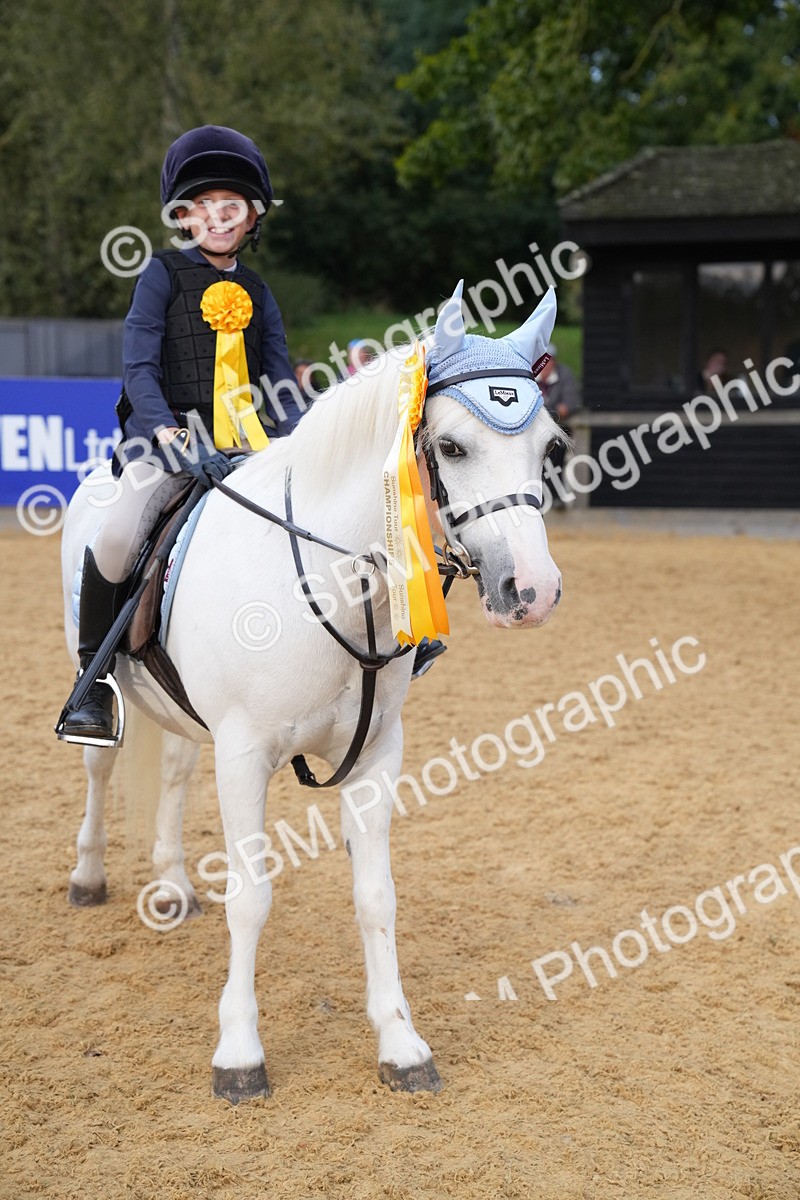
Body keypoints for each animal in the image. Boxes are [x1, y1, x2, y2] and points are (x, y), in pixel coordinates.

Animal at [60, 282, 565, 1103]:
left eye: (551, 447)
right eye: (453, 447)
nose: (534, 591)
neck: (334, 583)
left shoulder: (377, 757)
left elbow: (376, 897)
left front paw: (401, 1044)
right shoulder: (243, 756)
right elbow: (251, 897)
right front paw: (239, 1055)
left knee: (173, 770)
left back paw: (170, 885)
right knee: (100, 767)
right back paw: (88, 875)